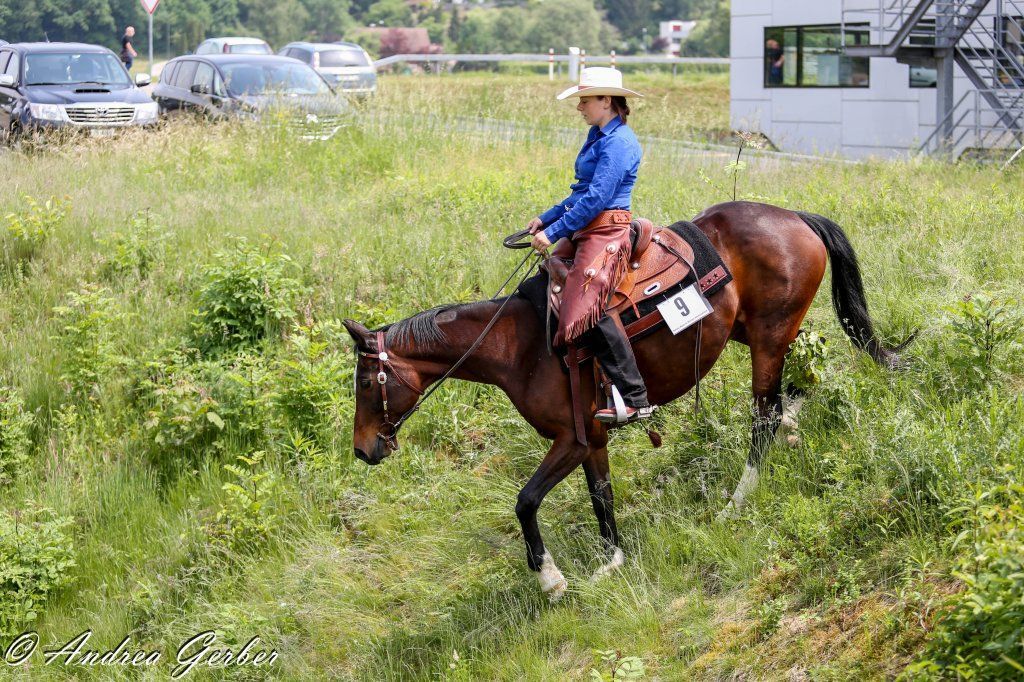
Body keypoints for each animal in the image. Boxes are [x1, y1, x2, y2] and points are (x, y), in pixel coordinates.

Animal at [342, 201, 908, 602]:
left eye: (366, 384)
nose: (363, 450)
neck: (518, 345)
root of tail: (794, 216)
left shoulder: (570, 440)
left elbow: (526, 501)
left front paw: (551, 579)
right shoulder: (591, 438)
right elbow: (602, 496)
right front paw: (612, 561)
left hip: (768, 340)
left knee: (763, 417)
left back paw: (737, 500)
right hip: (762, 335)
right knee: (799, 383)